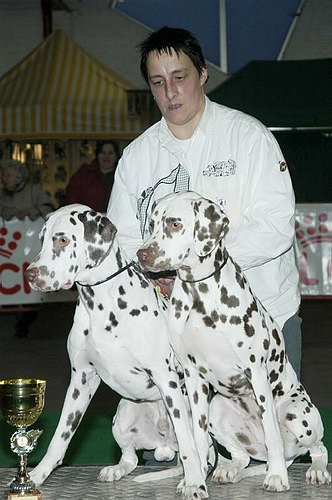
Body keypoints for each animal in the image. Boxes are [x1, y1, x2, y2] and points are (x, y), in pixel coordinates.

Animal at [24, 203, 209, 500]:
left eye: (62, 240)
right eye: (42, 239)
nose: (31, 274)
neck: (101, 307)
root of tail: (164, 446)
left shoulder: (166, 379)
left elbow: (189, 446)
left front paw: (194, 482)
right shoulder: (81, 380)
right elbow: (60, 438)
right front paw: (36, 476)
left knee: (194, 448)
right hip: (121, 416)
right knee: (130, 457)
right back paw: (116, 469)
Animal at [136, 190, 330, 492]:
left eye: (175, 224)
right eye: (153, 223)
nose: (141, 254)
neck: (200, 297)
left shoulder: (256, 373)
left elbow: (272, 434)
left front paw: (276, 476)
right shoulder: (193, 378)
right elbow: (198, 439)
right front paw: (194, 479)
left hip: (297, 412)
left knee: (317, 448)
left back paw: (312, 470)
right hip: (218, 409)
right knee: (242, 457)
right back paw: (229, 470)